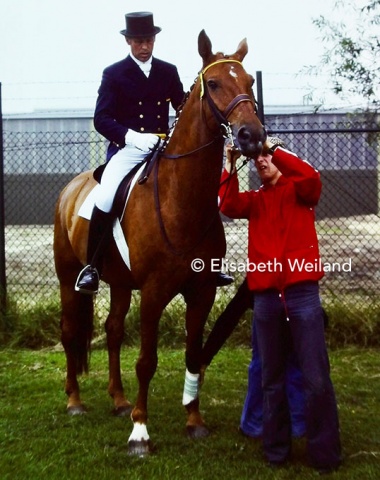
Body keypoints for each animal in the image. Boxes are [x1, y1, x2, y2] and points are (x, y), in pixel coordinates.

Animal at [53, 31, 266, 458]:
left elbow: (192, 354)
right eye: (213, 84)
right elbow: (146, 361)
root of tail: (71, 188)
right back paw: (75, 402)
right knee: (70, 332)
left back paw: (119, 400)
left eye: (250, 81)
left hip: (119, 283)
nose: (252, 136)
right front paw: (140, 432)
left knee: (113, 330)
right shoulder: (153, 293)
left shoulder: (201, 292)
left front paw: (194, 422)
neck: (179, 199)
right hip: (68, 278)